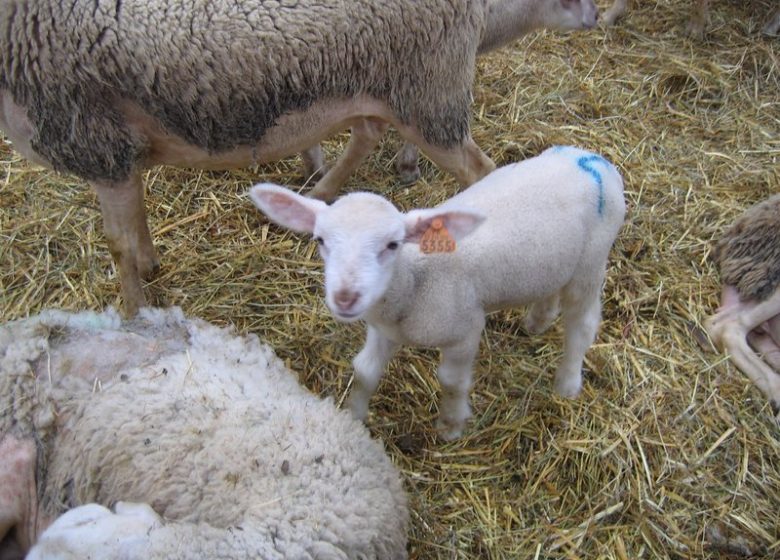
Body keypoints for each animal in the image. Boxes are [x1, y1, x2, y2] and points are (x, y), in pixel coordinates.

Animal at [0, 0, 596, 318]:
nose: (596, 15)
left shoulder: (94, 141)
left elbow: (117, 246)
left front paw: (132, 314)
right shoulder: (119, 155)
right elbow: (137, 227)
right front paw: (151, 268)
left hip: (429, 94)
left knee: (482, 173)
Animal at [250, 145, 628, 438]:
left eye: (392, 244)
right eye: (320, 240)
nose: (346, 297)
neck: (413, 280)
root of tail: (592, 159)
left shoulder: (464, 331)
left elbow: (451, 380)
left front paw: (451, 424)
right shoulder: (384, 330)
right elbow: (364, 370)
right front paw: (354, 419)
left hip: (592, 260)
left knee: (582, 324)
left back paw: (566, 384)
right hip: (555, 260)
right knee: (550, 289)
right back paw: (537, 321)